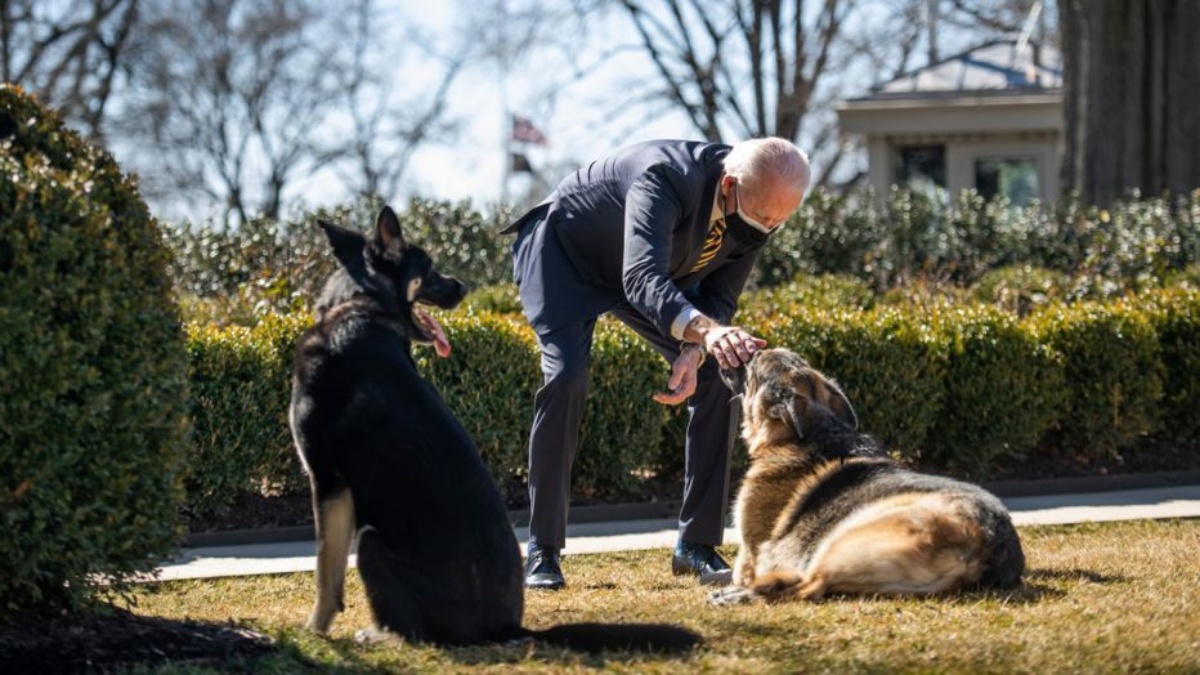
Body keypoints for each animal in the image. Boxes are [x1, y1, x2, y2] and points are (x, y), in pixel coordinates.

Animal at [291, 206, 700, 653]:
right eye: (429, 268)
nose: (463, 287)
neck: (360, 305)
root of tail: (507, 627)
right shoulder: (334, 486)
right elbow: (329, 573)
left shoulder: (328, 481)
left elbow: (325, 573)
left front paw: (314, 630)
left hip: (370, 543)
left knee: (419, 634)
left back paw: (380, 636)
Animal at [705, 348, 1027, 600]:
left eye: (754, 362)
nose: (736, 351)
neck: (814, 430)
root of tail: (985, 550)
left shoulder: (749, 556)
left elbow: (742, 568)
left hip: (841, 542)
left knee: (808, 587)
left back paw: (738, 596)